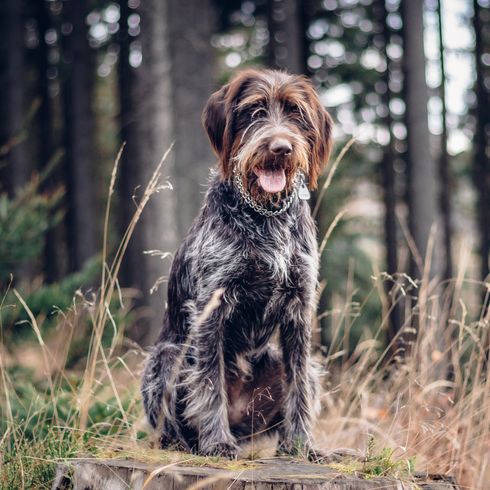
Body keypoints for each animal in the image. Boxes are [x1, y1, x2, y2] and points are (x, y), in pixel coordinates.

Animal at [141, 69, 334, 460]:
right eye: (254, 111)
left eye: (296, 112)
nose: (281, 148)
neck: (266, 215)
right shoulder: (210, 307)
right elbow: (209, 381)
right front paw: (217, 442)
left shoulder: (298, 306)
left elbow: (297, 386)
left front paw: (303, 445)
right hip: (166, 357)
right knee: (174, 420)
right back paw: (186, 443)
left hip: (287, 362)